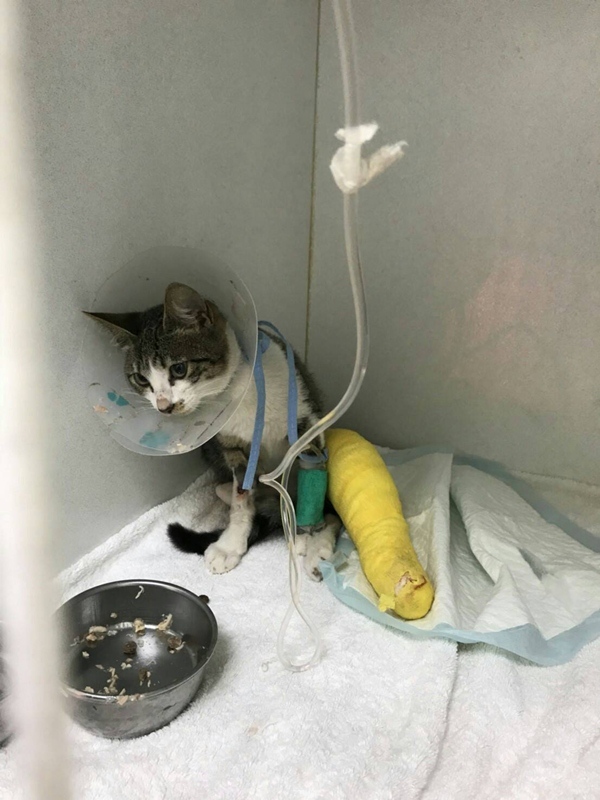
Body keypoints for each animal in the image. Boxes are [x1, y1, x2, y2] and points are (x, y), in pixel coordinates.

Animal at [87, 282, 341, 579]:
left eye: (179, 368)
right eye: (140, 378)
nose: (163, 406)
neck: (239, 393)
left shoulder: (307, 425)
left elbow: (315, 490)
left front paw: (313, 537)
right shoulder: (229, 445)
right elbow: (242, 496)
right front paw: (231, 543)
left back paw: (312, 543)